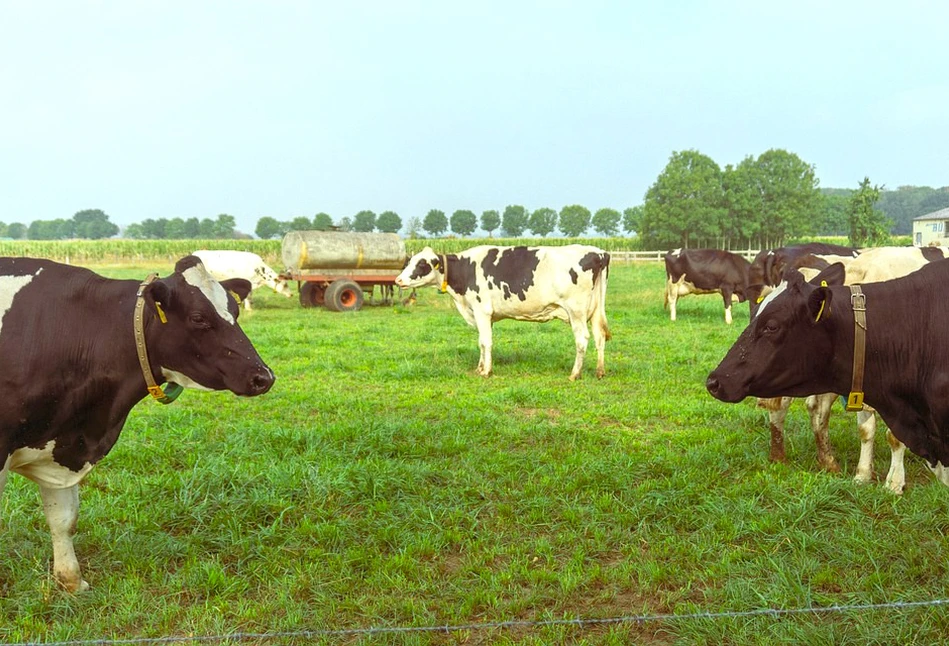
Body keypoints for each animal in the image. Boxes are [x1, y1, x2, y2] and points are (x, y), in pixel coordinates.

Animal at [0, 256, 274, 592]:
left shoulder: (61, 447)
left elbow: (63, 518)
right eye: (198, 317)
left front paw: (72, 582)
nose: (264, 376)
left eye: (234, 311)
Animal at [394, 246, 612, 382]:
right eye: (409, 262)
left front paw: (486, 372)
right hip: (595, 310)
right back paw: (600, 372)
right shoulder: (483, 315)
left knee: (582, 339)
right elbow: (481, 342)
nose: (398, 280)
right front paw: (480, 367)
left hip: (576, 311)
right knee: (600, 336)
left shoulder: (481, 310)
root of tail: (599, 252)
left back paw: (575, 374)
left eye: (422, 264)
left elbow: (486, 342)